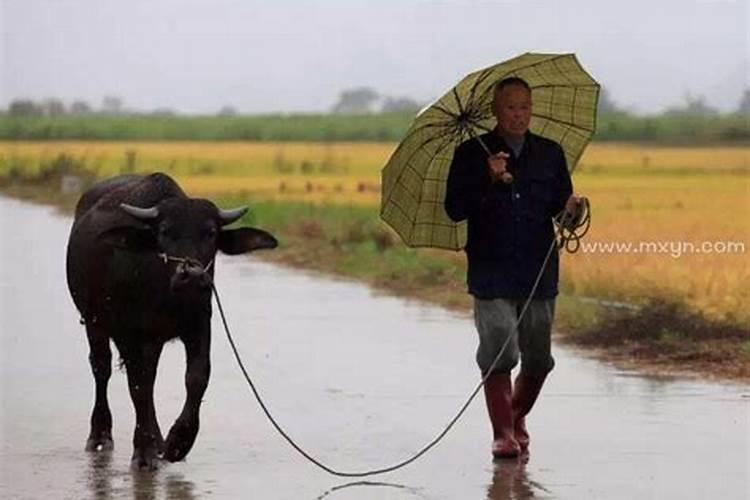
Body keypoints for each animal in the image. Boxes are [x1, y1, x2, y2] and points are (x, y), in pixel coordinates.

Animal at [66, 172, 278, 468]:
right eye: (165, 232)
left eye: (210, 233)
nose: (192, 275)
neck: (164, 293)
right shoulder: (130, 334)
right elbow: (138, 387)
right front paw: (143, 451)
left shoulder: (199, 325)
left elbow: (197, 377)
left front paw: (178, 442)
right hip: (94, 322)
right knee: (102, 369)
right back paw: (100, 436)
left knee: (149, 378)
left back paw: (158, 439)